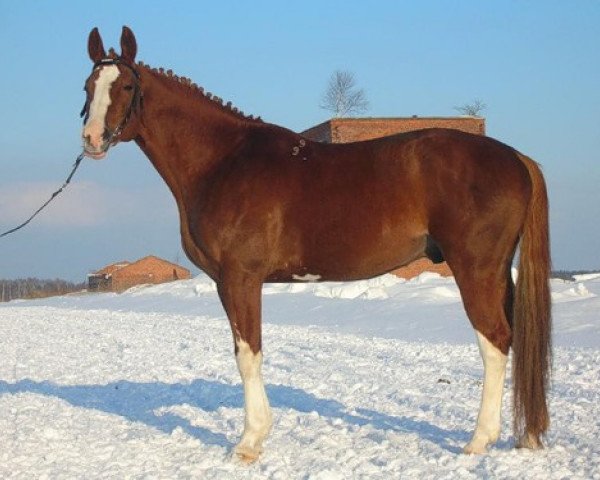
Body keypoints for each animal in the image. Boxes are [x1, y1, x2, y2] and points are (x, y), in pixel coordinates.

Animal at [81, 27, 552, 462]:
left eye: (125, 87)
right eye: (87, 87)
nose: (91, 140)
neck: (223, 162)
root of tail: (515, 157)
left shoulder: (239, 279)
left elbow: (248, 354)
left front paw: (250, 442)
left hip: (475, 269)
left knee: (495, 341)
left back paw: (479, 440)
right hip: (497, 272)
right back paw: (524, 435)